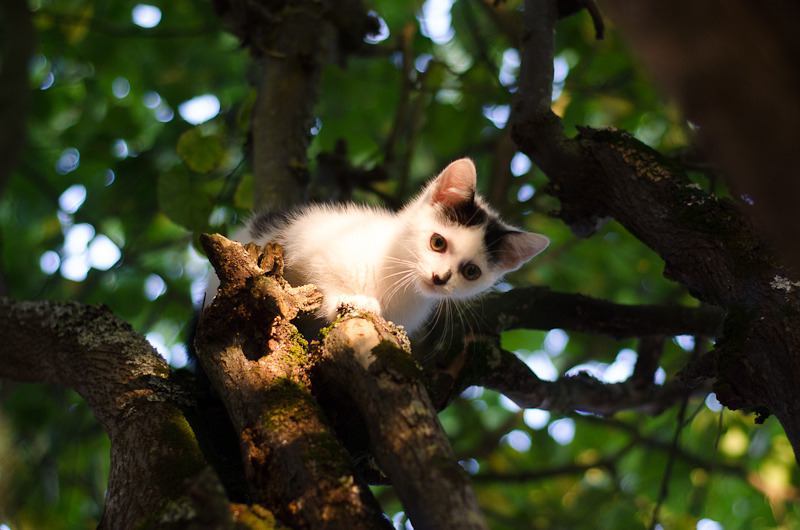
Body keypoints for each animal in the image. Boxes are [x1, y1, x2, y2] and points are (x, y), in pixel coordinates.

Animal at [205, 158, 552, 334]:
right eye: (438, 242)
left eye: (471, 272)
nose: (440, 278)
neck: (396, 277)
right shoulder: (310, 243)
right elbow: (316, 279)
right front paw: (349, 298)